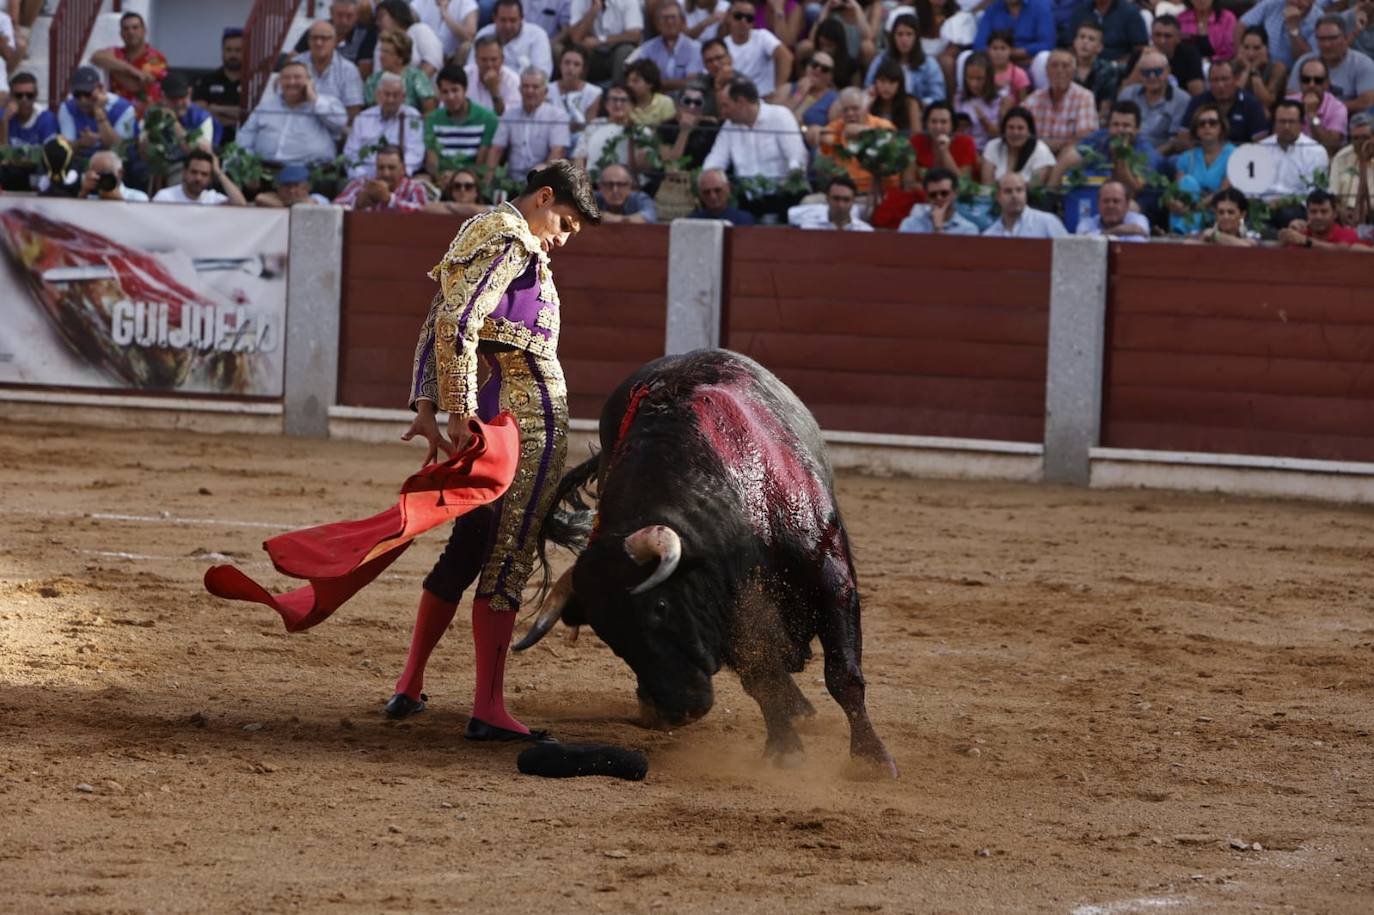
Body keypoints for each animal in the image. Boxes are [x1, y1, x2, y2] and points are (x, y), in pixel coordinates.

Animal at [511, 348, 895, 774]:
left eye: (660, 607)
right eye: (609, 636)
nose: (676, 712)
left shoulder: (831, 580)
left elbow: (842, 674)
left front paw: (871, 759)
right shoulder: (729, 611)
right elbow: (761, 677)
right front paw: (784, 749)